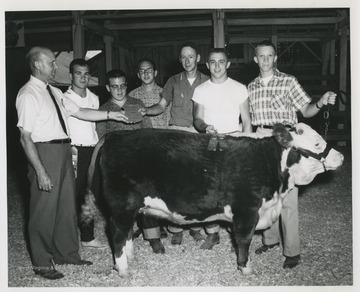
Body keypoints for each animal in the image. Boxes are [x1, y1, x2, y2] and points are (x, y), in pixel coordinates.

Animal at [81, 122, 344, 276]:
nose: (340, 156)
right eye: (317, 143)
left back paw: (129, 258)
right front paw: (245, 268)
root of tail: (115, 135)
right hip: (122, 206)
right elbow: (244, 240)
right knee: (117, 233)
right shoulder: (247, 210)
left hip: (130, 207)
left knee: (125, 233)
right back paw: (123, 269)